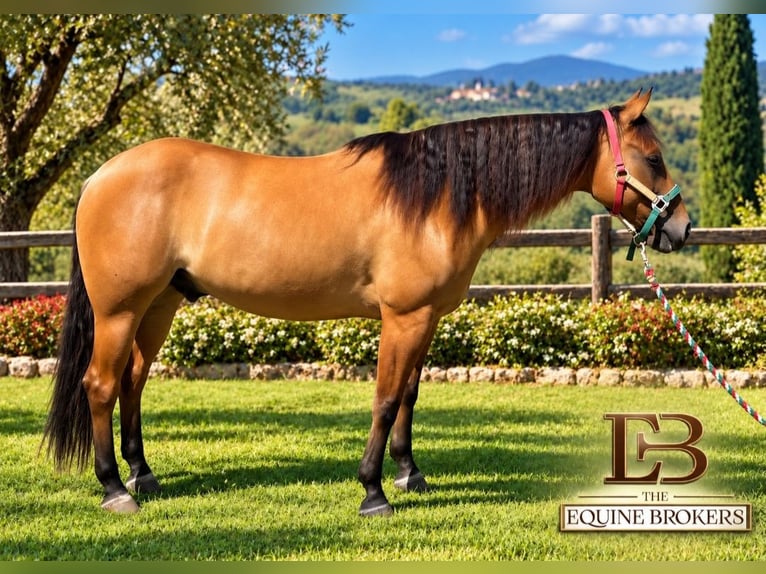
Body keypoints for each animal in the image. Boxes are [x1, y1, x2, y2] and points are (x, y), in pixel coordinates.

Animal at [42, 89, 691, 517]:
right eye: (654, 158)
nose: (681, 229)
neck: (438, 195)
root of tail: (98, 177)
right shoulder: (401, 319)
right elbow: (383, 399)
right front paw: (374, 491)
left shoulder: (425, 320)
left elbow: (408, 396)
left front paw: (410, 475)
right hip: (120, 311)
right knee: (100, 385)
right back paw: (114, 489)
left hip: (158, 307)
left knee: (133, 382)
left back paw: (143, 475)